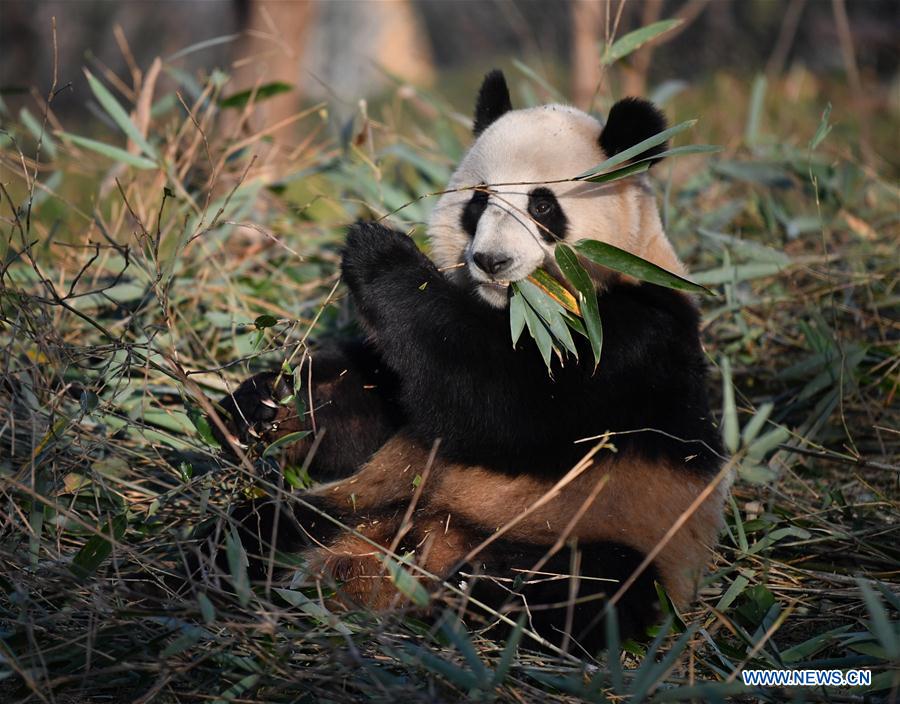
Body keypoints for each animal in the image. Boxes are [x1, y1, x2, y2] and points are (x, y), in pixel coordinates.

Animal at [206, 70, 727, 653]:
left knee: (589, 588)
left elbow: (505, 406)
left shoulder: (634, 336)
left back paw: (475, 599)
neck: (518, 311)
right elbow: (377, 409)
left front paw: (380, 254)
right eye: (478, 201)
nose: (491, 261)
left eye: (543, 206)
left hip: (611, 532)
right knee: (255, 528)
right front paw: (263, 405)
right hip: (355, 509)